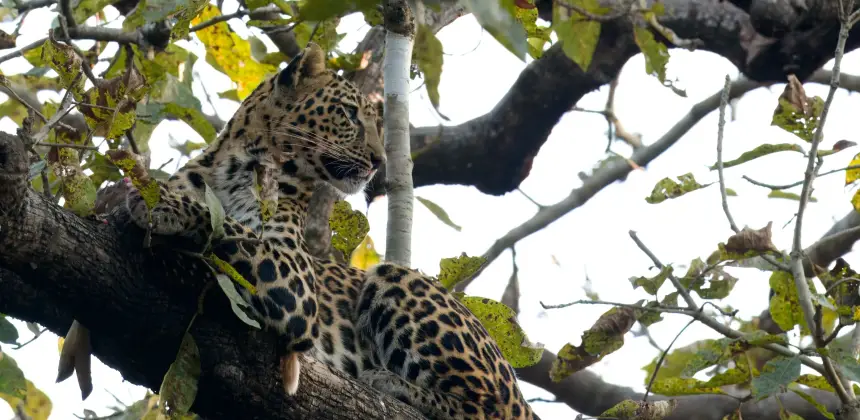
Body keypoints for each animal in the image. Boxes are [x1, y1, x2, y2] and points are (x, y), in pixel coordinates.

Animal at [124, 42, 537, 419]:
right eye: (350, 114)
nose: (378, 161)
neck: (234, 169)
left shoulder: (296, 284)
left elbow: (230, 227)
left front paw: (162, 203)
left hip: (399, 280)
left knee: (487, 407)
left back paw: (393, 383)